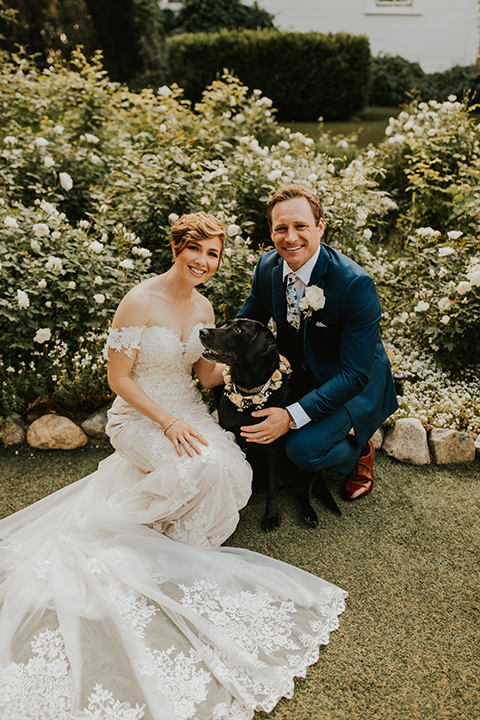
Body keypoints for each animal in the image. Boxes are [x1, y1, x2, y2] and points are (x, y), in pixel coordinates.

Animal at [199, 318, 322, 532]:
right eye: (225, 324)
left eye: (238, 330)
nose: (202, 332)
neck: (248, 393)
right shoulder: (230, 434)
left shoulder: (272, 446)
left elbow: (273, 488)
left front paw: (271, 516)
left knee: (303, 490)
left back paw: (308, 513)